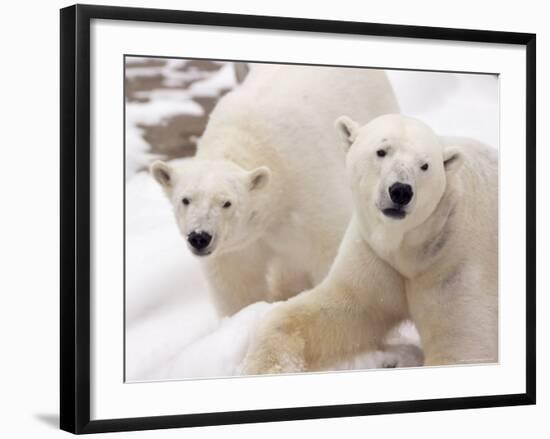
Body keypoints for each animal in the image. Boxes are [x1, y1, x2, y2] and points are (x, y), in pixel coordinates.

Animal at [151, 63, 402, 316]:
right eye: (185, 200)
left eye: (226, 203)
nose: (199, 237)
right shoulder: (236, 246)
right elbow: (236, 283)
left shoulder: (308, 192)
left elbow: (328, 251)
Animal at [246, 114, 500, 374]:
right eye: (381, 151)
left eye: (425, 165)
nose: (401, 191)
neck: (411, 245)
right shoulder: (375, 255)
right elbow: (340, 308)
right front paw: (267, 366)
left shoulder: (454, 264)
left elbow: (461, 345)